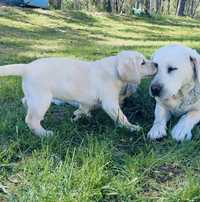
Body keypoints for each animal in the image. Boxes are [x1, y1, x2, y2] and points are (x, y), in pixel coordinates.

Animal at [0, 50, 156, 137]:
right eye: (142, 63)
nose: (156, 64)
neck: (114, 68)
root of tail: (26, 67)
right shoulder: (110, 103)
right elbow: (122, 117)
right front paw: (132, 128)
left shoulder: (88, 100)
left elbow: (84, 108)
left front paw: (78, 115)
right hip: (42, 99)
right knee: (31, 119)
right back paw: (44, 134)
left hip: (33, 96)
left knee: (25, 102)